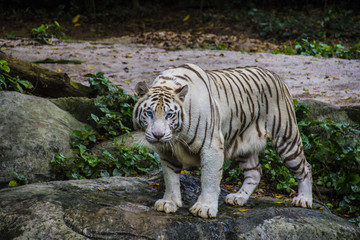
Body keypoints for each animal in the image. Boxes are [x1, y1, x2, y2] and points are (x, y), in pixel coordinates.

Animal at [132, 62, 312, 218]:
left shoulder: (211, 146)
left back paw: (304, 199)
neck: (177, 137)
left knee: (305, 167)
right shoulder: (167, 152)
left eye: (169, 115)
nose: (158, 135)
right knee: (255, 172)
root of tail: (276, 75)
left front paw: (204, 208)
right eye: (149, 113)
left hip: (286, 139)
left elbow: (209, 179)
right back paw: (238, 198)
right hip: (244, 145)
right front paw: (169, 202)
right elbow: (170, 178)